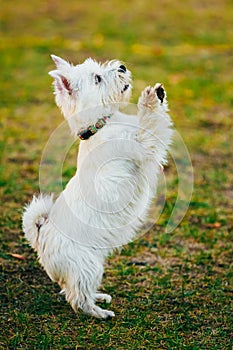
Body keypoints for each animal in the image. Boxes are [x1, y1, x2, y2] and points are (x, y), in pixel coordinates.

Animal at [22, 54, 173, 318]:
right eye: (97, 78)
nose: (122, 66)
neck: (100, 126)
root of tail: (40, 235)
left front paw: (159, 93)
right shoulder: (143, 145)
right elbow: (150, 122)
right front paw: (150, 98)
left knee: (71, 290)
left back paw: (100, 297)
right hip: (87, 266)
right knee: (77, 298)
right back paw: (99, 313)